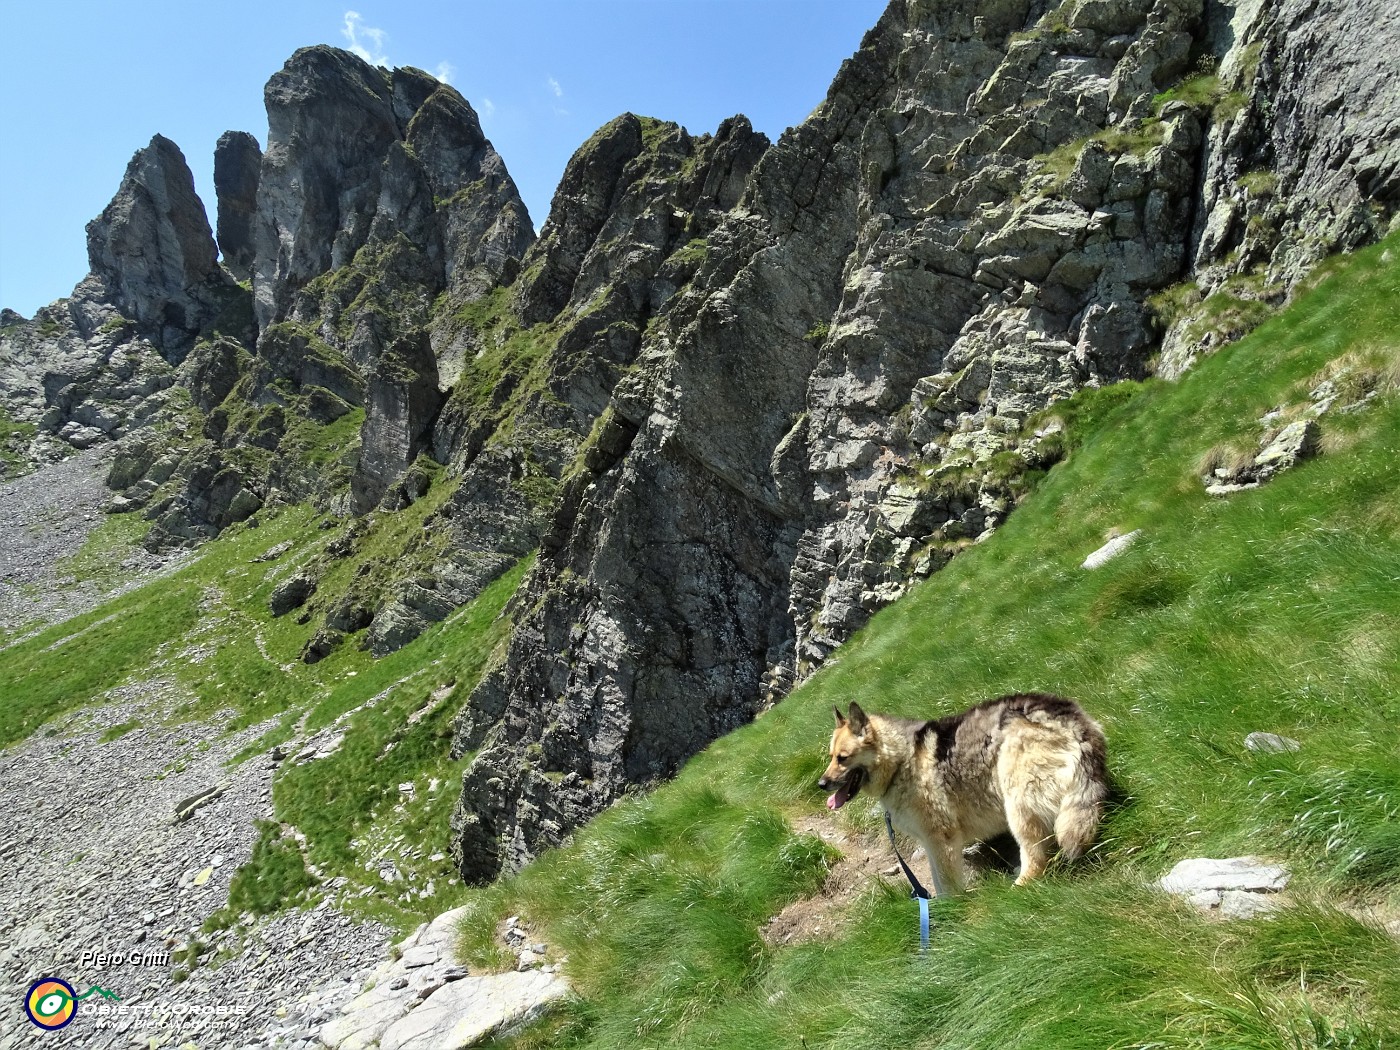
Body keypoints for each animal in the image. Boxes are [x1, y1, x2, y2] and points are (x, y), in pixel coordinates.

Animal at [817, 694, 1108, 901]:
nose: (821, 784)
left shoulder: (940, 839)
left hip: (1017, 801)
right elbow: (937, 879)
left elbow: (946, 882)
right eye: (831, 757)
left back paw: (1017, 889)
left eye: (842, 758)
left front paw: (950, 912)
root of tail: (1068, 716)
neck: (901, 760)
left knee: (1035, 857)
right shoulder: (930, 842)